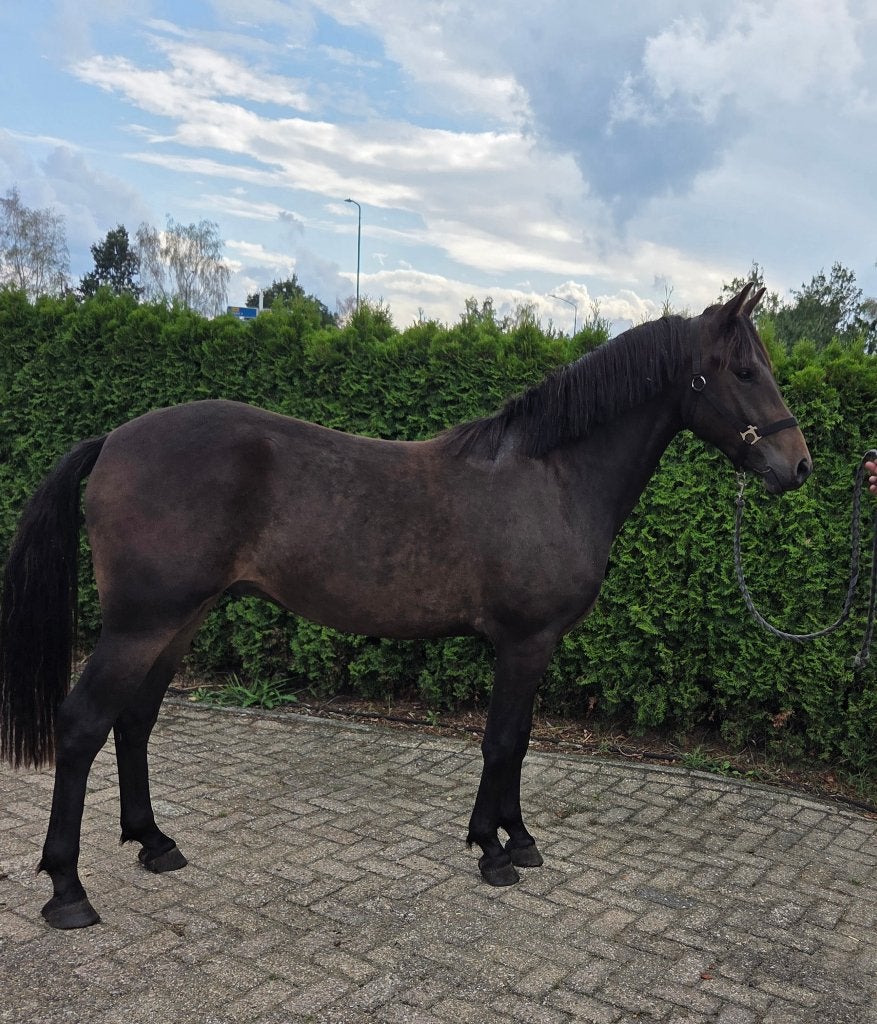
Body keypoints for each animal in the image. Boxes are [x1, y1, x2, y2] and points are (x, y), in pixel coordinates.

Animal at [0, 284, 811, 929]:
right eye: (744, 370)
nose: (797, 466)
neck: (550, 477)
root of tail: (114, 440)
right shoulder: (525, 642)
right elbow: (502, 743)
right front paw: (492, 851)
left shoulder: (533, 646)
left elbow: (517, 743)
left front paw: (519, 839)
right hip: (141, 625)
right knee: (83, 726)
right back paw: (68, 891)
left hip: (180, 621)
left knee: (134, 723)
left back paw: (155, 843)